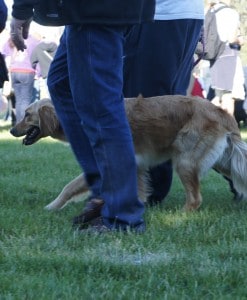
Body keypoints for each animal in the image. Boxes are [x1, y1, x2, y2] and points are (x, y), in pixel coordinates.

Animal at [10, 96, 247, 211]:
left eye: (27, 114)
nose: (11, 130)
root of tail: (223, 112)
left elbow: (68, 188)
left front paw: (51, 207)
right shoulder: (135, 166)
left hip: (185, 161)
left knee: (195, 199)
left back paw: (182, 216)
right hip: (222, 161)